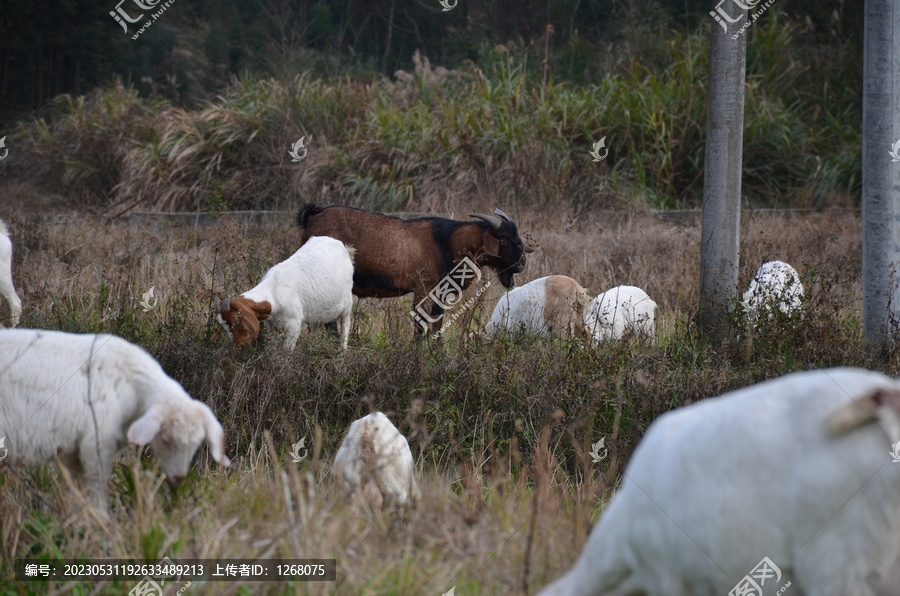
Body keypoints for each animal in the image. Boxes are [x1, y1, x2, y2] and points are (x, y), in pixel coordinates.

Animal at [0, 328, 232, 516]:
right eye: (165, 440)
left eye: (197, 443)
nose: (178, 479)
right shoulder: (96, 443)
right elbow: (96, 490)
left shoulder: (74, 450)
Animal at [214, 236, 356, 350]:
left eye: (236, 322)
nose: (240, 346)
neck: (273, 292)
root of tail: (343, 247)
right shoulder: (271, 324)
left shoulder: (293, 325)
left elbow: (286, 351)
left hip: (347, 302)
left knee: (345, 326)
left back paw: (342, 353)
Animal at [298, 205, 532, 336]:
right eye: (503, 239)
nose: (522, 264)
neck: (445, 242)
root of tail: (312, 215)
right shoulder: (423, 290)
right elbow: (420, 327)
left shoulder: (440, 295)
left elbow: (437, 327)